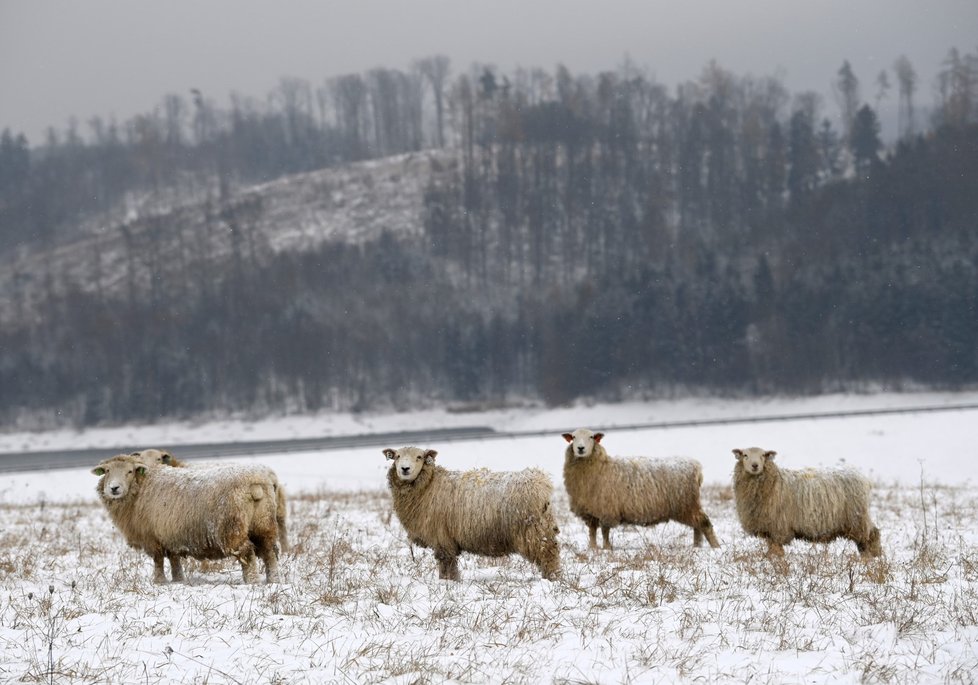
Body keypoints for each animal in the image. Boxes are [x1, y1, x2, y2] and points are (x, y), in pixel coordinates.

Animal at [93, 454, 282, 584]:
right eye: (107, 471)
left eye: (129, 471)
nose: (114, 488)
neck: (140, 488)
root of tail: (256, 482)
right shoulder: (170, 536)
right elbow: (174, 560)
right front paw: (178, 580)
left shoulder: (152, 537)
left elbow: (158, 561)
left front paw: (159, 581)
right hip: (264, 523)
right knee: (269, 552)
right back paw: (273, 580)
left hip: (232, 527)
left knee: (247, 553)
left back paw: (252, 581)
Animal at [386, 446, 560, 580]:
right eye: (397, 456)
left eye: (419, 457)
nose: (404, 469)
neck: (429, 485)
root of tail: (540, 481)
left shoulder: (442, 537)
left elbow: (446, 562)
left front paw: (446, 582)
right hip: (543, 526)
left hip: (533, 530)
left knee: (548, 554)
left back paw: (552, 578)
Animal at [556, 428, 716, 552]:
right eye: (573, 437)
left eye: (591, 437)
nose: (580, 448)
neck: (600, 467)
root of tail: (696, 466)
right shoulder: (590, 511)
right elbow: (592, 531)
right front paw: (592, 548)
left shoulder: (607, 509)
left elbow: (605, 531)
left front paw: (606, 549)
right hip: (688, 506)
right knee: (697, 526)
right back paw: (697, 546)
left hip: (687, 504)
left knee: (704, 523)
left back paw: (716, 547)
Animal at [728, 446, 880, 560]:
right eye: (745, 455)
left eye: (763, 455)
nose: (755, 466)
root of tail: (863, 478)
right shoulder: (769, 530)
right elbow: (772, 550)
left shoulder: (778, 528)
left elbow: (776, 551)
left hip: (857, 519)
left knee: (868, 538)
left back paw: (870, 559)